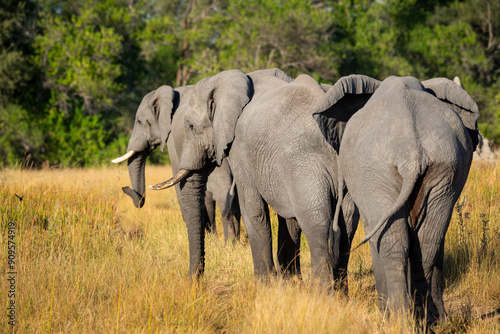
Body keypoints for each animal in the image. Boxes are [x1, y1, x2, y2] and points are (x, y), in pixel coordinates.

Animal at [150, 69, 380, 288]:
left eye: (190, 126)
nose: (194, 282)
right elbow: (288, 219)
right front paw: (290, 283)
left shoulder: (242, 149)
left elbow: (254, 209)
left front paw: (265, 284)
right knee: (347, 226)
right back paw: (340, 294)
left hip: (306, 164)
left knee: (318, 225)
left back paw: (323, 295)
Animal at [312, 75, 480, 320]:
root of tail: (412, 153)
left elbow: (375, 233)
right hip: (445, 169)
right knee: (428, 240)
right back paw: (426, 320)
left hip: (378, 171)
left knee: (392, 241)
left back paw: (396, 317)